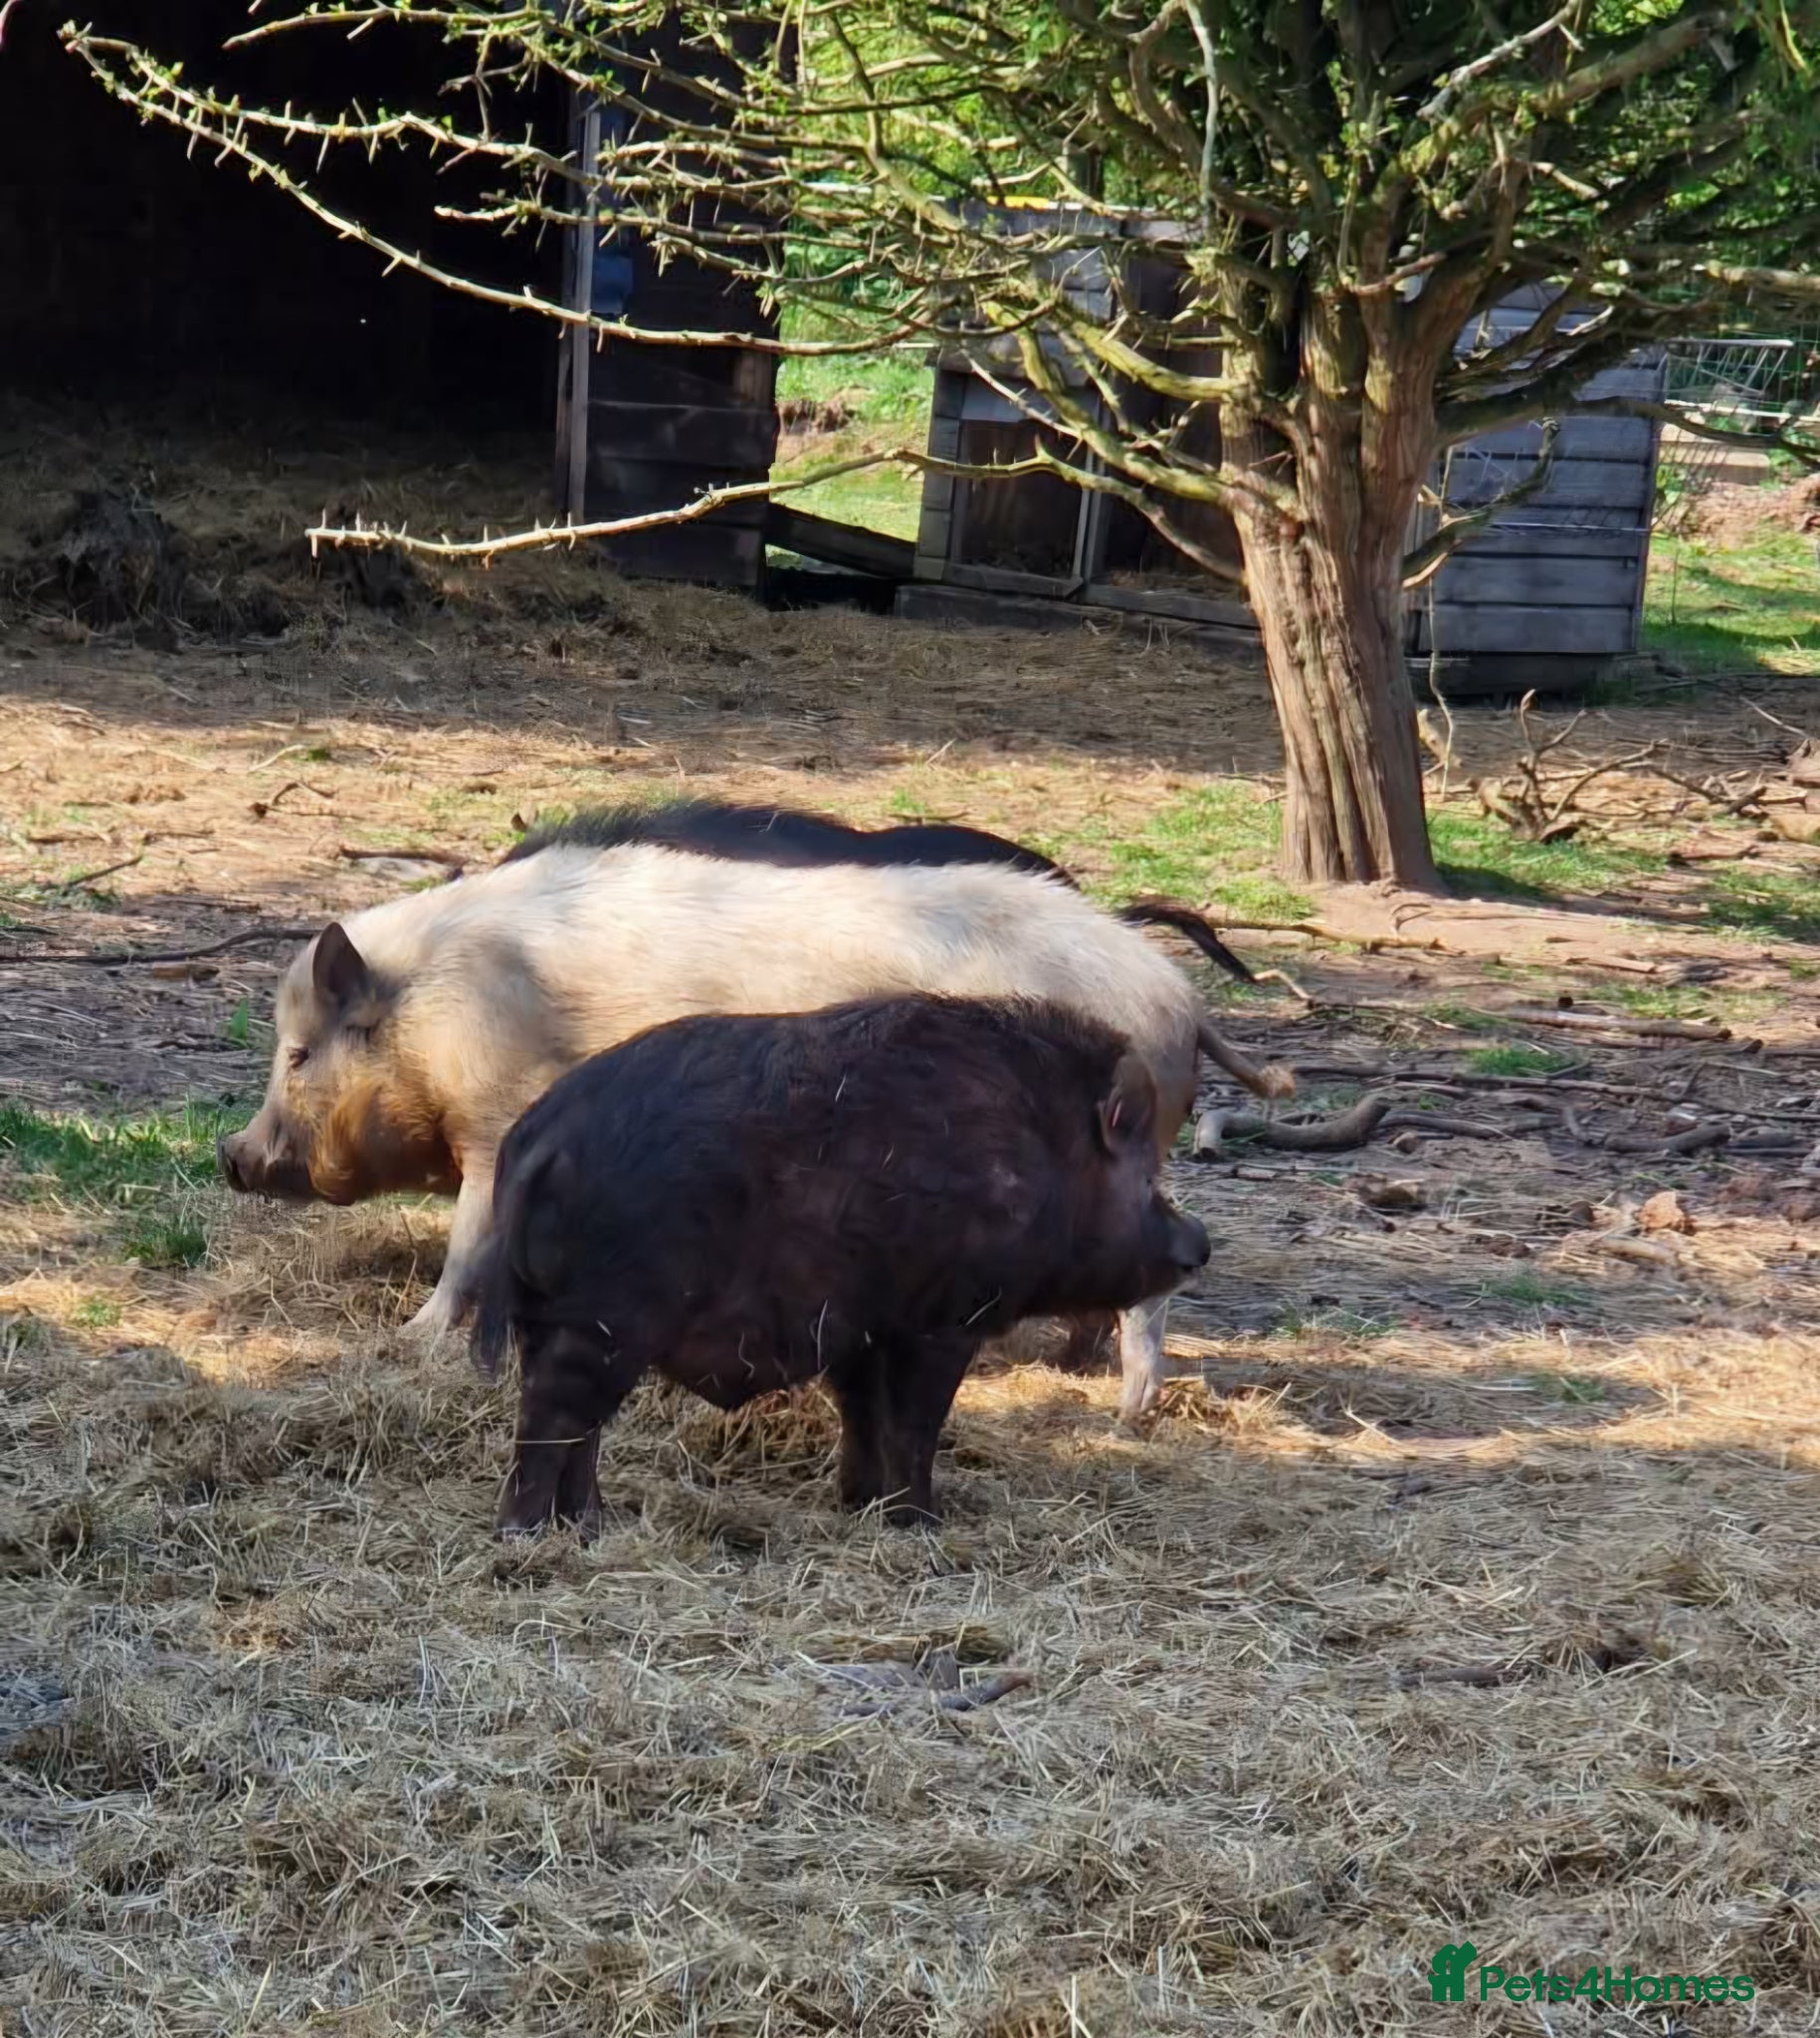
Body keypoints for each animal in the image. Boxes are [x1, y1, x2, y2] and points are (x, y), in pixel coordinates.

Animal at [218, 842, 1291, 1418]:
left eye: (300, 1053)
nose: (234, 1156)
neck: (440, 1006)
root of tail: (1175, 1000)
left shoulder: (499, 1122)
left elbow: (470, 1243)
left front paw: (412, 1337)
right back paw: (1067, 1363)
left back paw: (1125, 1409)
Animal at [473, 993, 1213, 1535]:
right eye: (1145, 1177)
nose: (1199, 1243)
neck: (1044, 1160)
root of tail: (538, 1137)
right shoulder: (942, 1320)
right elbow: (914, 1424)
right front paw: (923, 1523)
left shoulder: (863, 1329)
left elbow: (863, 1416)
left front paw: (862, 1506)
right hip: (606, 1320)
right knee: (554, 1417)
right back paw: (529, 1532)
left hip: (559, 1318)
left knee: (576, 1428)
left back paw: (590, 1524)